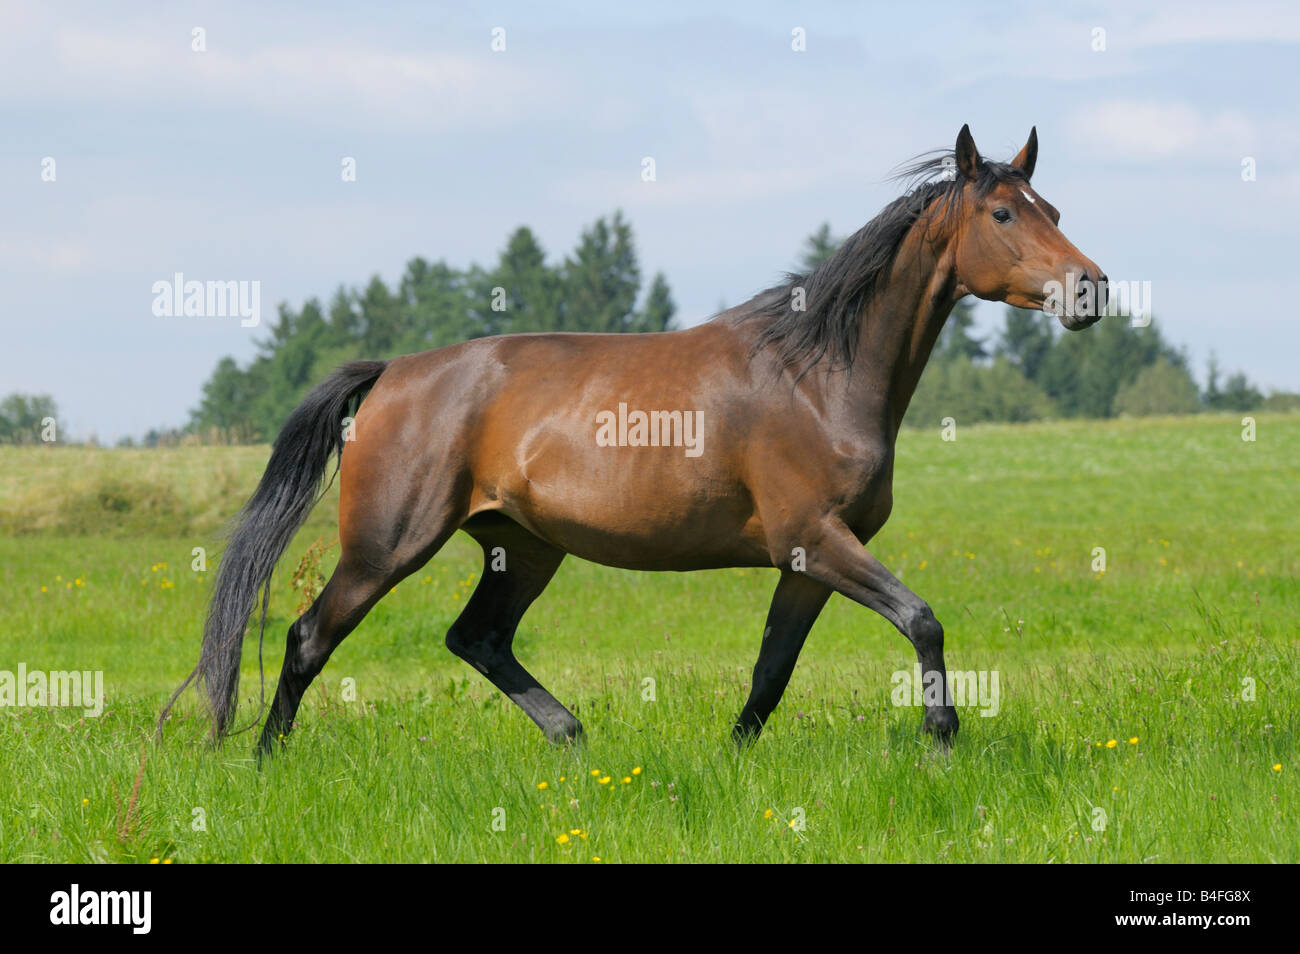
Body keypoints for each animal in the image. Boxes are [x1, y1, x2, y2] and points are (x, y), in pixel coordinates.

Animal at [162, 125, 1107, 753]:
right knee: (308, 638)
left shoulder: (808, 562)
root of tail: (393, 373)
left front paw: (734, 758)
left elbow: (772, 669)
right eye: (1003, 213)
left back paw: (574, 739)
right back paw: (265, 760)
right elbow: (922, 619)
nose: (1090, 290)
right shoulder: (817, 539)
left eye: (1053, 206)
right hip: (386, 547)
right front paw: (943, 738)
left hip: (522, 547)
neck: (819, 378)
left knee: (477, 639)